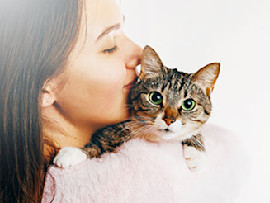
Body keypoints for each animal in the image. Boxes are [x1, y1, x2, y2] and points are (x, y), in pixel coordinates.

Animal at [54, 44, 219, 171]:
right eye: (155, 97)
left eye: (188, 104)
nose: (169, 120)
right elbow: (100, 142)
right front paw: (73, 153)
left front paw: (197, 155)